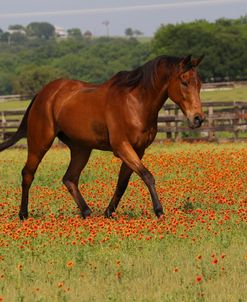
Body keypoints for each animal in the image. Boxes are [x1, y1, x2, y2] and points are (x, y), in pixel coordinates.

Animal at [0, 54, 205, 219]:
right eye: (184, 82)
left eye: (200, 83)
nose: (198, 118)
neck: (136, 103)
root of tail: (42, 94)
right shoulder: (122, 147)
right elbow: (147, 176)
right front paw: (159, 211)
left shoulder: (137, 150)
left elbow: (122, 183)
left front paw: (108, 213)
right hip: (40, 143)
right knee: (28, 174)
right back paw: (23, 214)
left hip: (81, 148)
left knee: (69, 178)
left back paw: (86, 212)